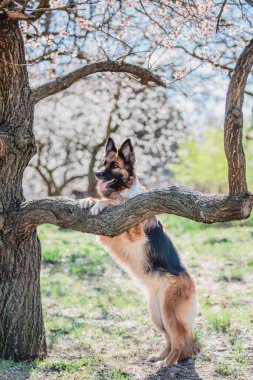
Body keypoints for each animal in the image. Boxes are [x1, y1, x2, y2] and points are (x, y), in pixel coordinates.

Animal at [81, 138, 198, 366]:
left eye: (114, 166)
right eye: (102, 163)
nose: (97, 174)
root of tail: (190, 282)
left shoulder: (134, 231)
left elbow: (118, 201)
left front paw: (103, 202)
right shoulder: (107, 234)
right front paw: (88, 200)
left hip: (169, 314)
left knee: (179, 341)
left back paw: (167, 363)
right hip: (156, 314)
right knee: (169, 339)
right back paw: (160, 356)